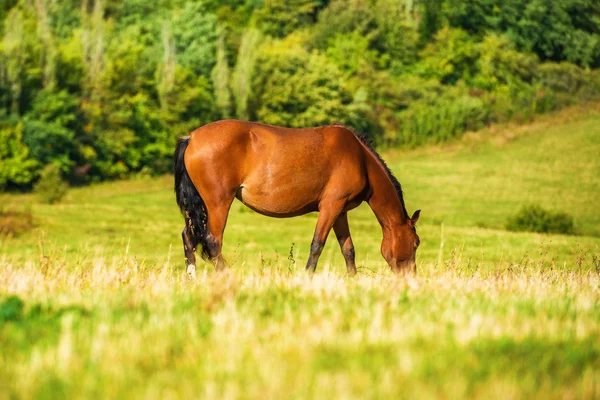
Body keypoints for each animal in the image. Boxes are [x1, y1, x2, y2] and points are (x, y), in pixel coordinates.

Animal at [171, 120, 420, 276]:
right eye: (416, 243)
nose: (410, 277)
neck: (359, 158)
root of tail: (191, 138)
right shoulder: (331, 206)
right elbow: (317, 245)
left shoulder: (340, 210)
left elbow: (348, 249)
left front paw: (353, 279)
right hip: (218, 203)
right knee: (212, 242)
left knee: (188, 238)